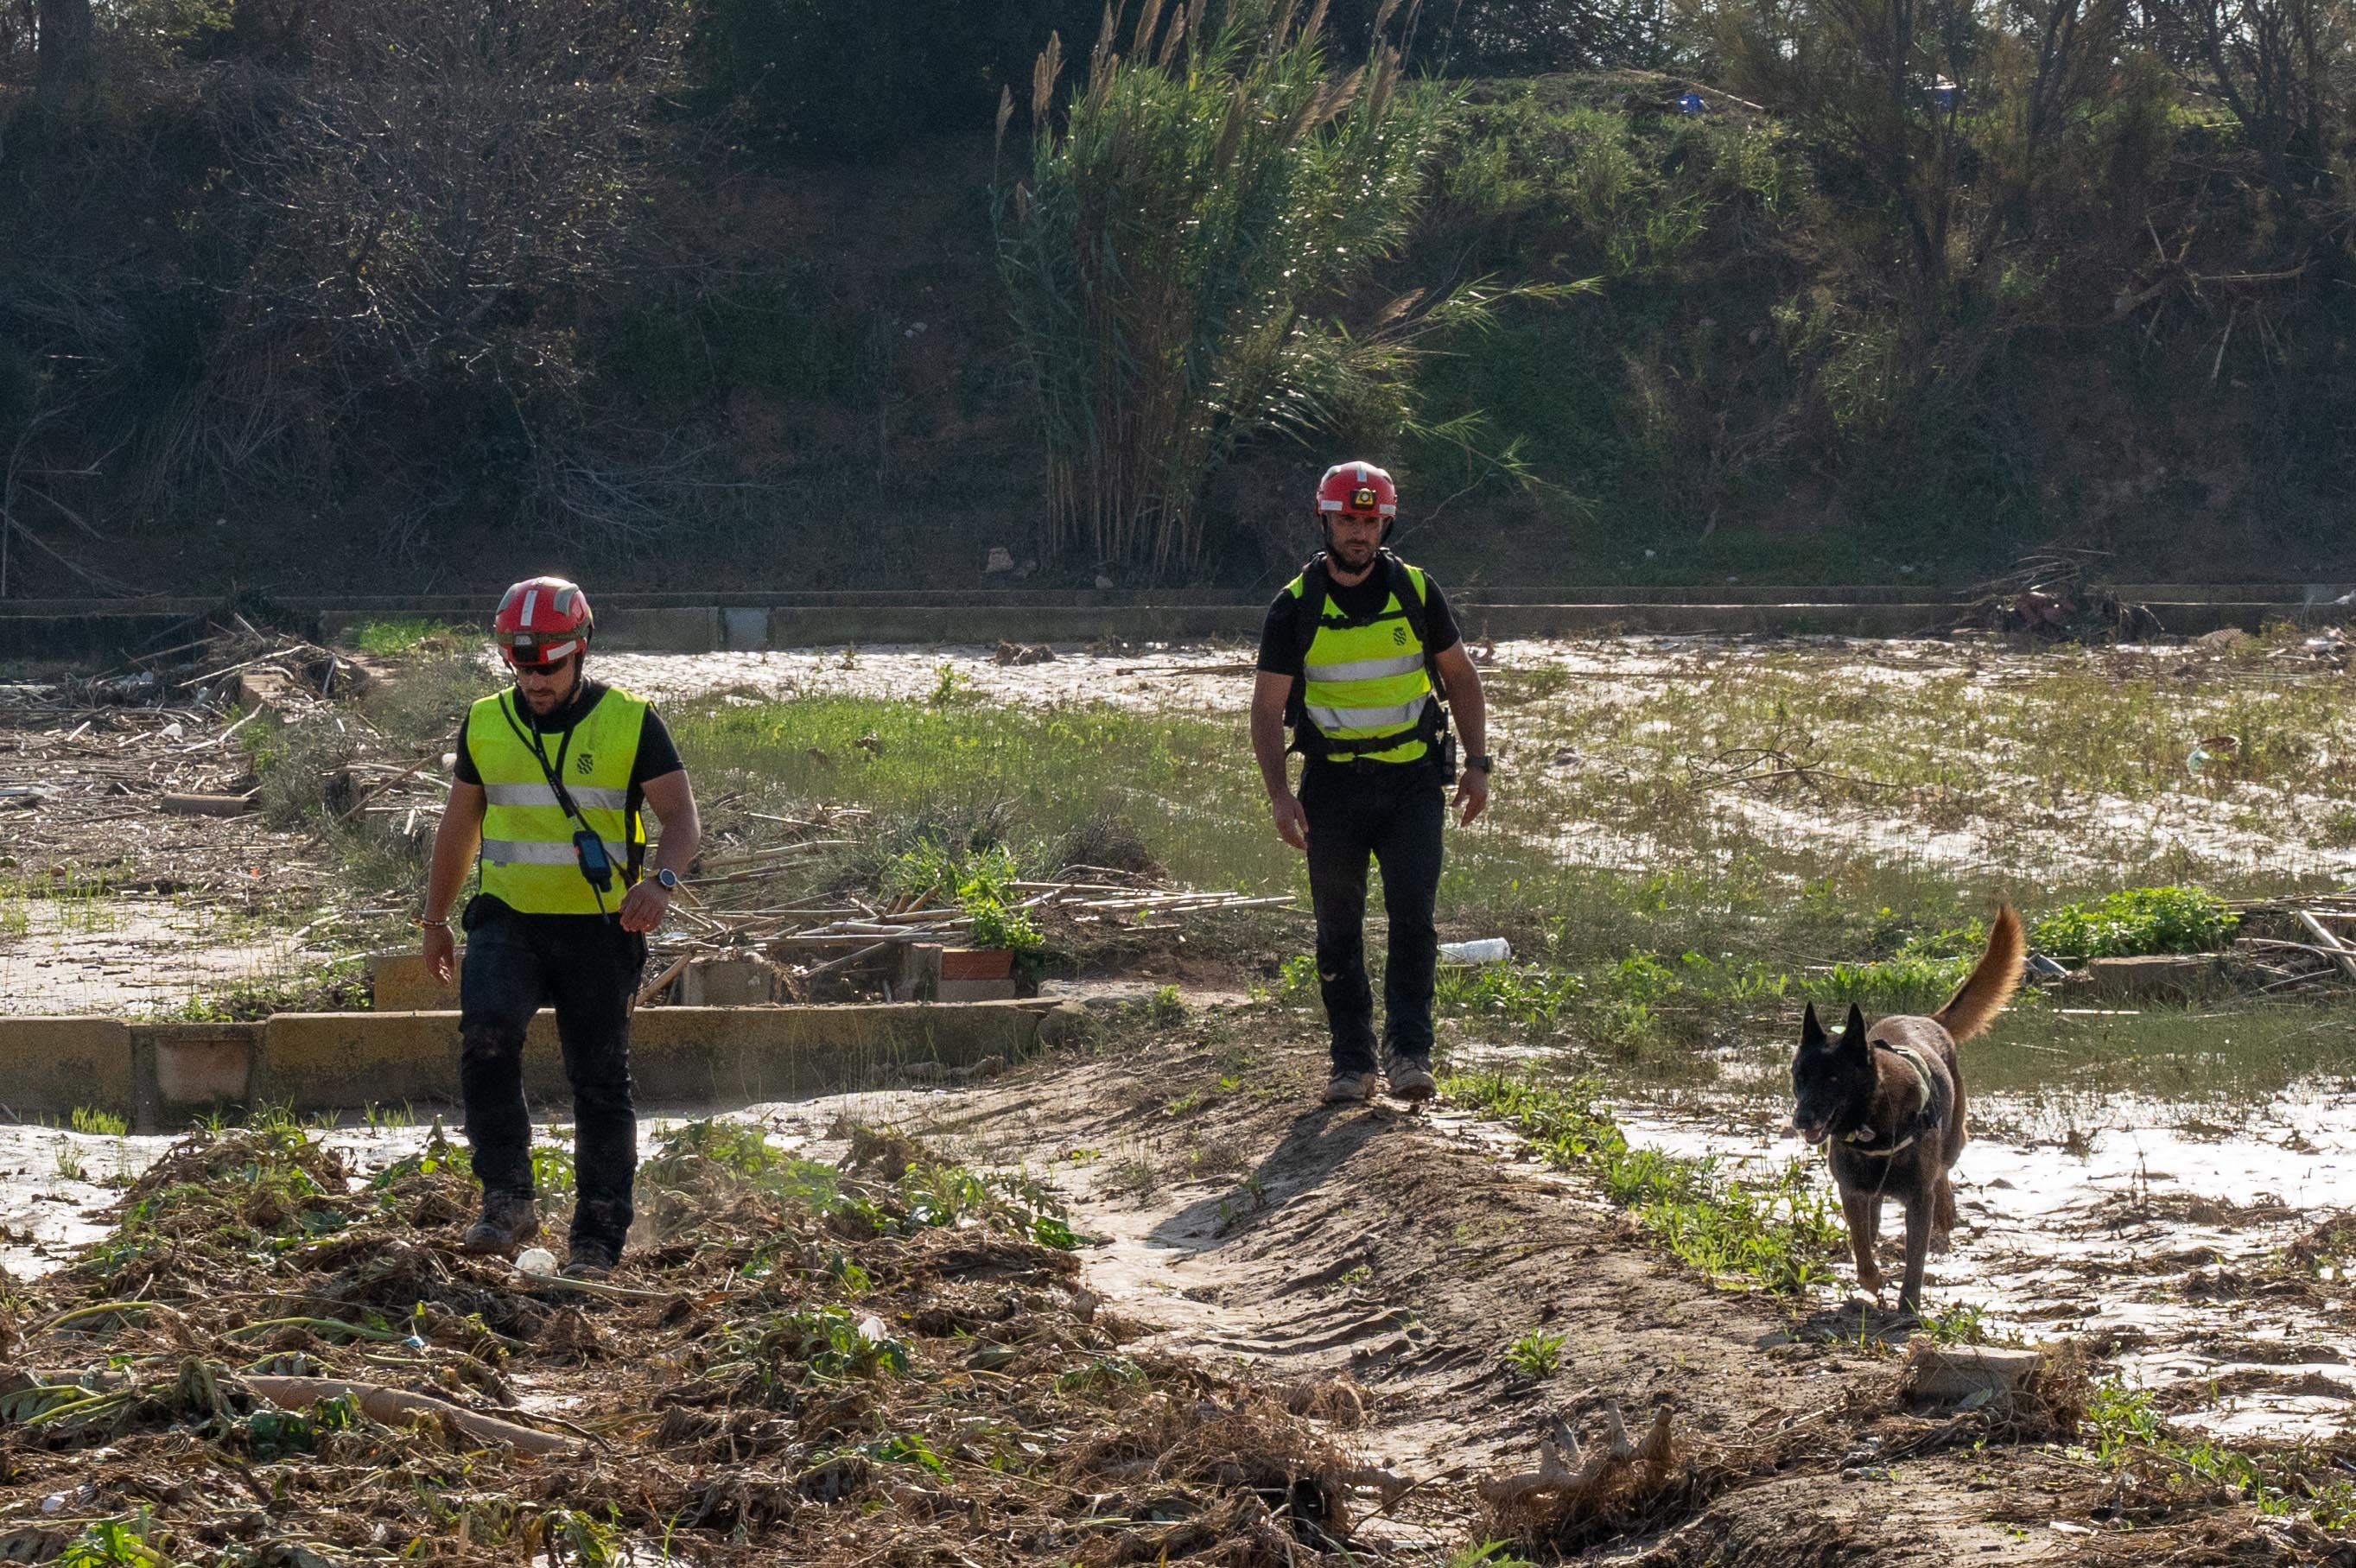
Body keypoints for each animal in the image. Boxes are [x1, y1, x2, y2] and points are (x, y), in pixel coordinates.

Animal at [1781, 899, 2026, 1309]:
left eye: (1833, 1079)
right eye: (1800, 1076)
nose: (1802, 1120)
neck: (1873, 1125)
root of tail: (1927, 1019)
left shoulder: (1917, 1199)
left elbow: (1915, 1257)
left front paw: (1908, 1303)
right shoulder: (1853, 1192)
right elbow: (1862, 1247)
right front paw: (1873, 1281)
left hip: (1953, 1140)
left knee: (1943, 1171)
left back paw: (1946, 1211)